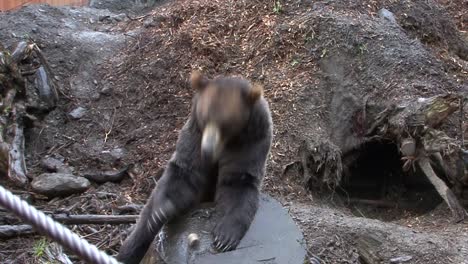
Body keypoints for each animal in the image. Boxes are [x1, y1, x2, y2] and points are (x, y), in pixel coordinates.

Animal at [114, 70, 272, 264]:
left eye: (226, 124)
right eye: (205, 117)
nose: (208, 150)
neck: (227, 144)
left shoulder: (251, 141)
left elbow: (238, 181)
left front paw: (224, 237)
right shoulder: (195, 134)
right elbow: (184, 173)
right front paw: (162, 209)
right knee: (141, 229)